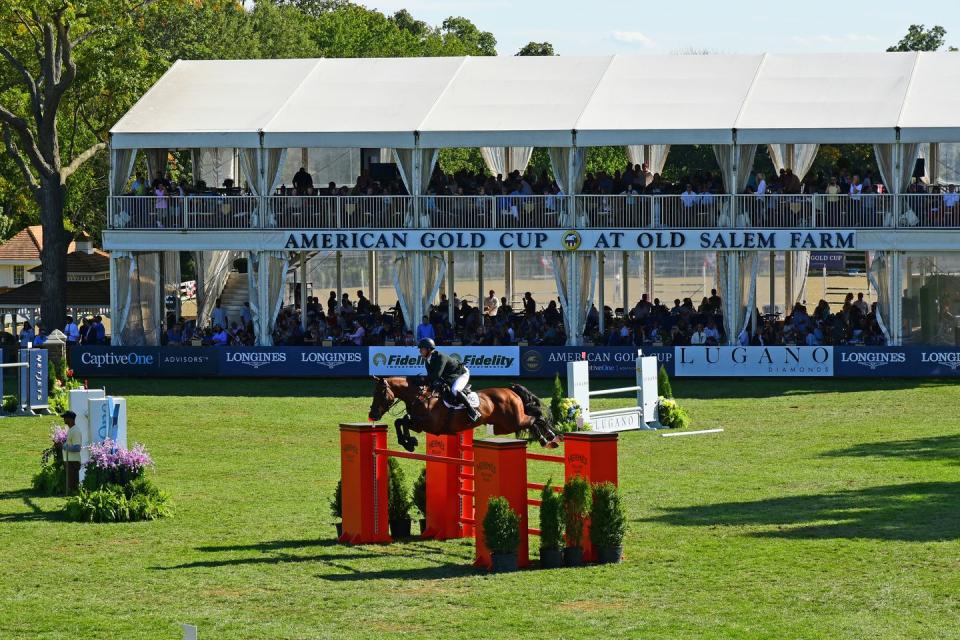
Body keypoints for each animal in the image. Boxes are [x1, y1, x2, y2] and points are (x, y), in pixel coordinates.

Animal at [368, 378, 564, 452]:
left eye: (381, 393)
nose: (373, 414)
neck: (420, 396)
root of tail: (510, 390)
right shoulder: (418, 422)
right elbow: (400, 421)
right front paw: (408, 442)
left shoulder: (427, 425)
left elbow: (403, 421)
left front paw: (409, 442)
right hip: (503, 426)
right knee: (534, 419)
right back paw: (549, 438)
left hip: (513, 421)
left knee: (535, 418)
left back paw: (548, 438)